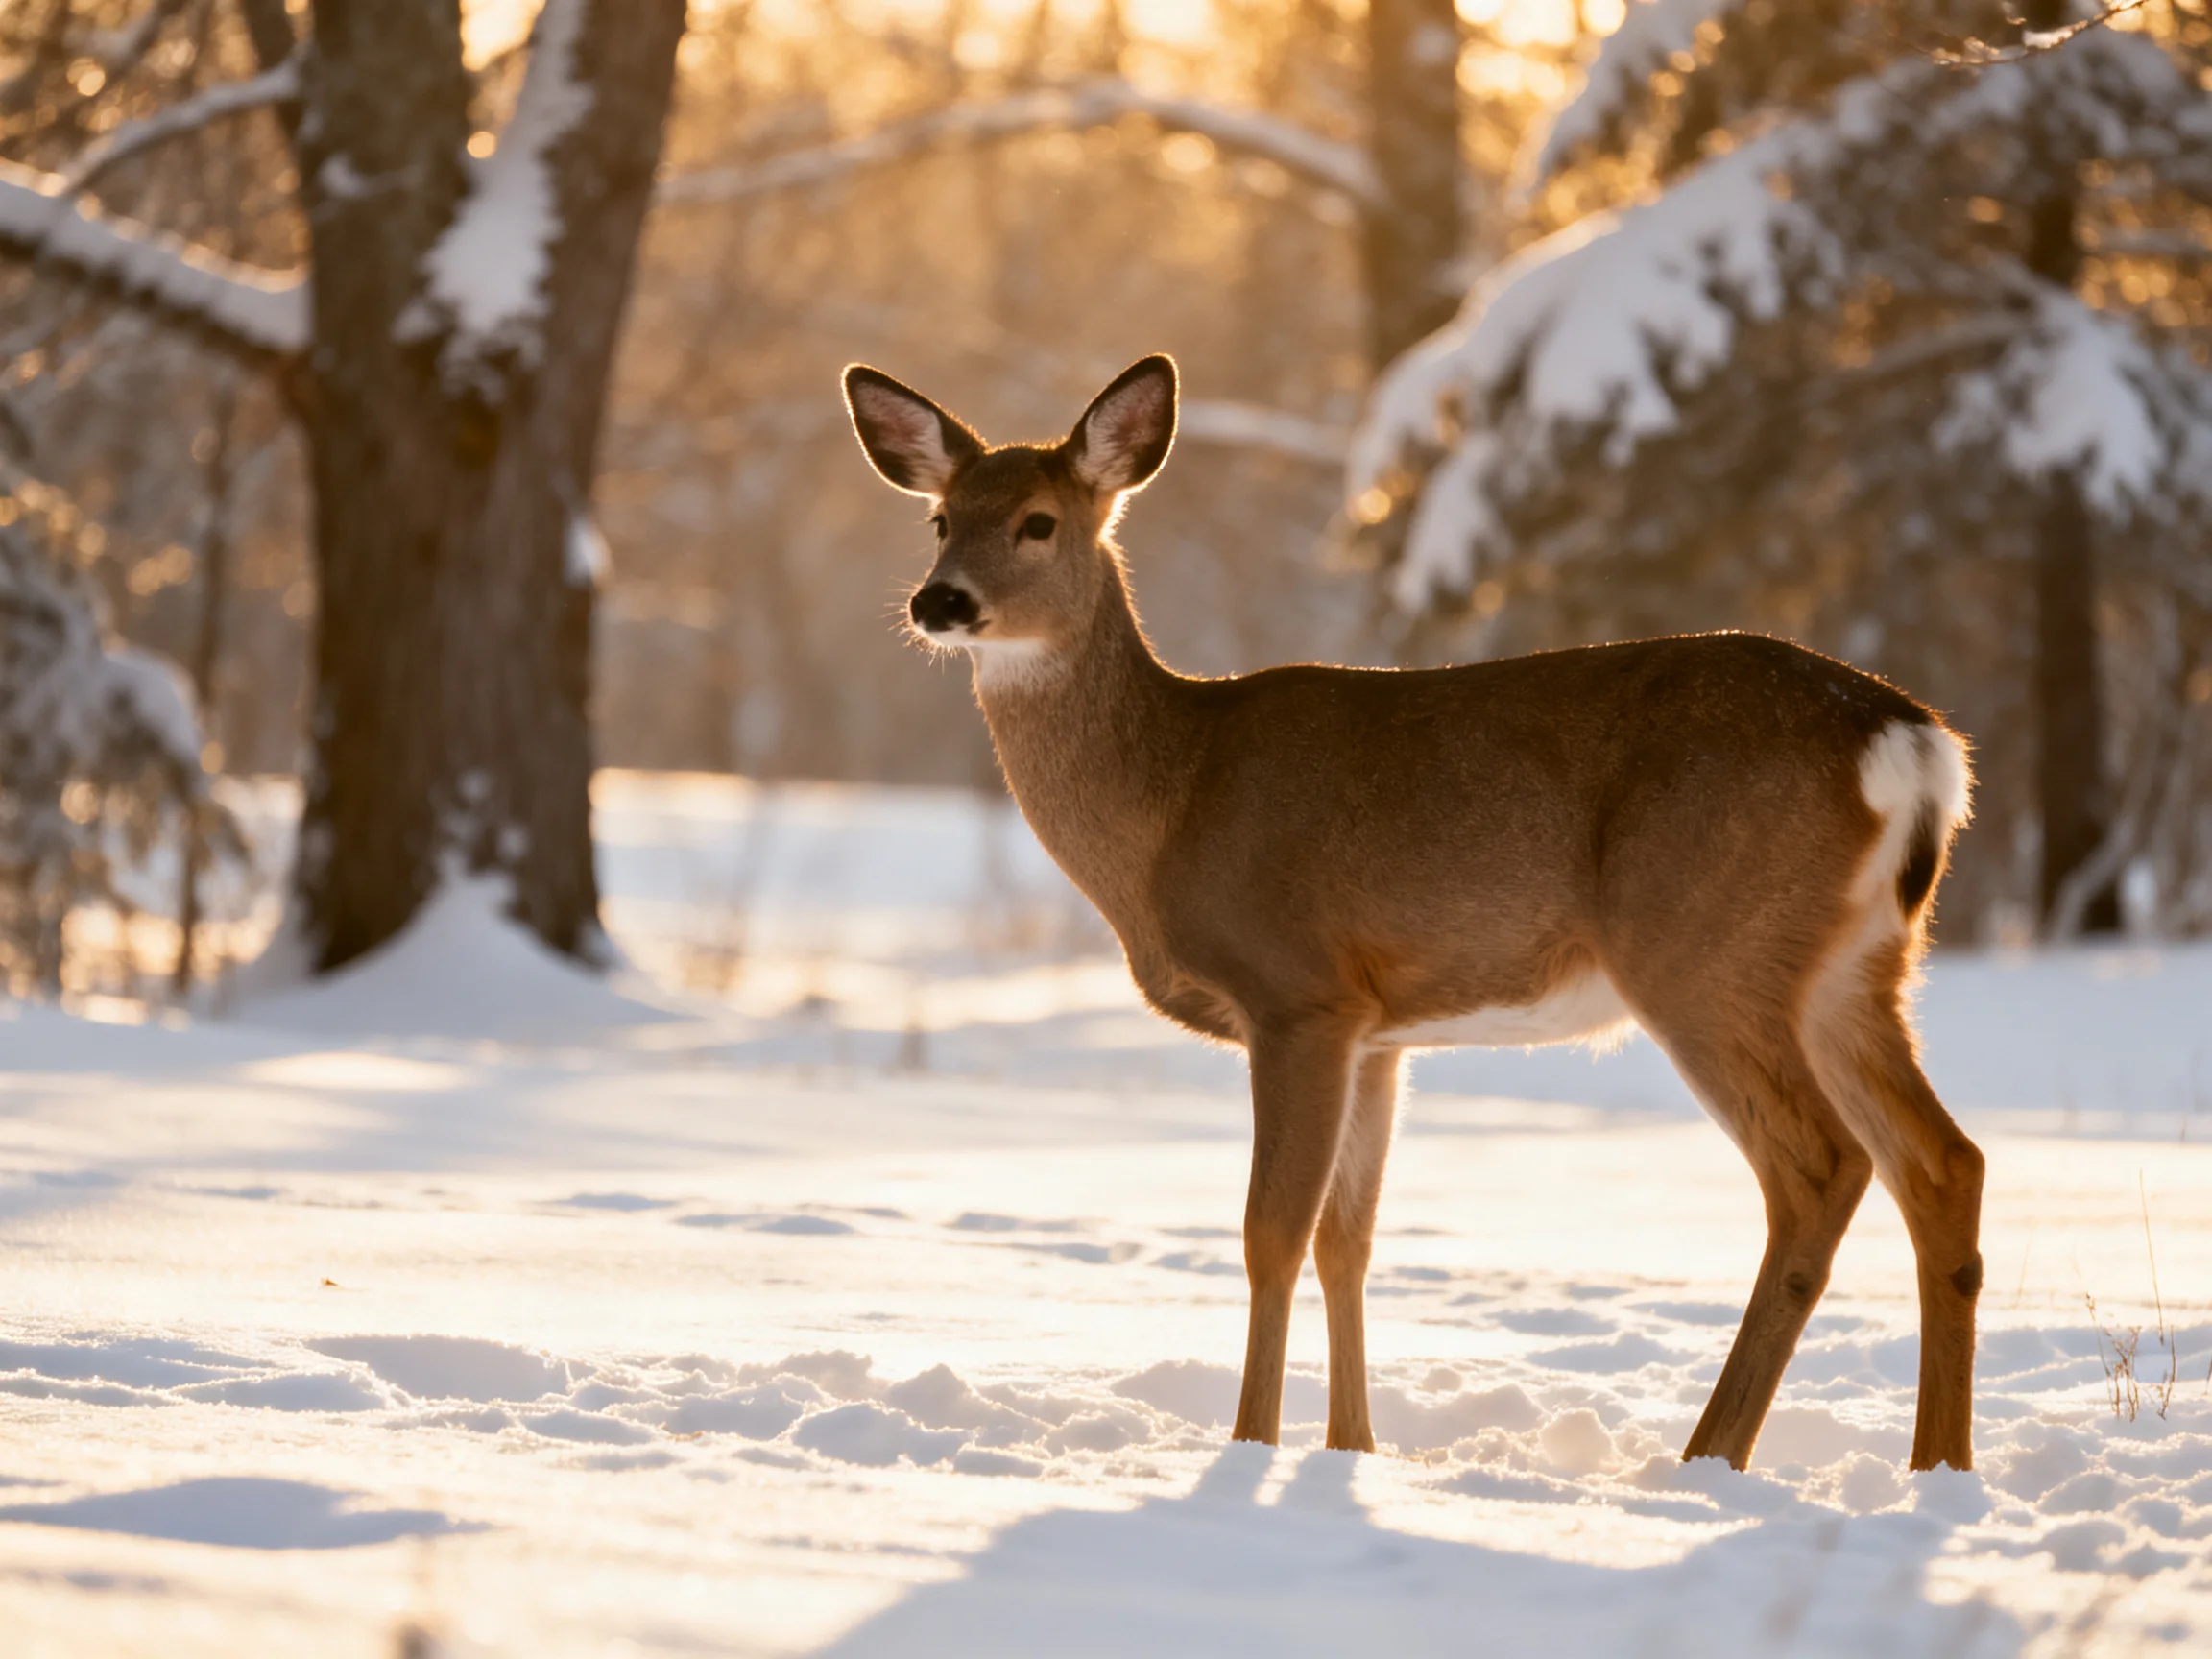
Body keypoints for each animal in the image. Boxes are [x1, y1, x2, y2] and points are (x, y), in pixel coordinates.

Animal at [842, 353, 1983, 1473]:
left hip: (1704, 948)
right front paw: (1352, 1448)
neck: (1174, 801)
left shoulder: (1297, 993)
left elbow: (1270, 1233)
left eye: (1038, 521)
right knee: (1943, 1164)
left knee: (1823, 1168)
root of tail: (1913, 741)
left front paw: (1250, 1447)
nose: (940, 601)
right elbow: (1348, 1239)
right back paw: (1936, 1467)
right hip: (1857, 967)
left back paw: (1708, 1460)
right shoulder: (1380, 1030)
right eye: (940, 518)